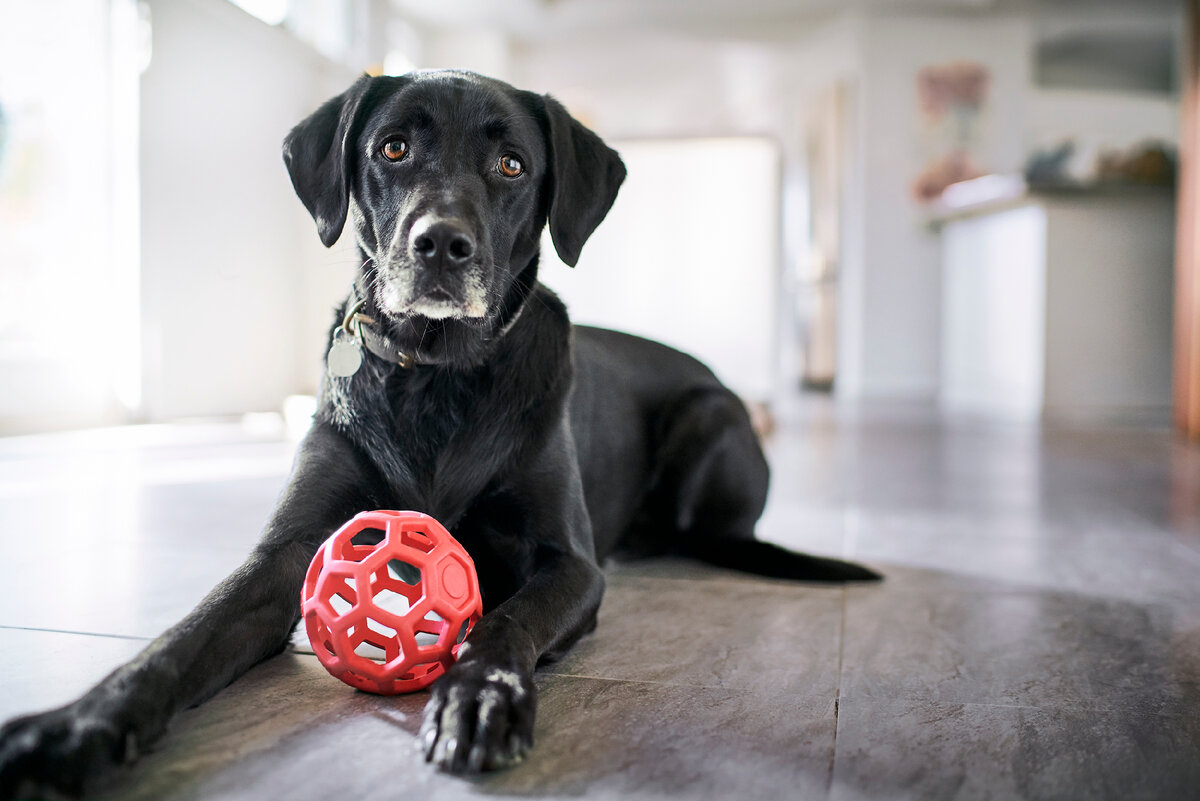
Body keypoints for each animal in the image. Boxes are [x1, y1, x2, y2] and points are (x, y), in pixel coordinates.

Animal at [0, 71, 883, 796]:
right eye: (392, 147)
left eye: (512, 166)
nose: (440, 244)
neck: (434, 374)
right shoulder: (285, 556)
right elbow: (181, 638)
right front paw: (75, 725)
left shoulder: (572, 565)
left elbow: (504, 619)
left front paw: (482, 698)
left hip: (712, 414)